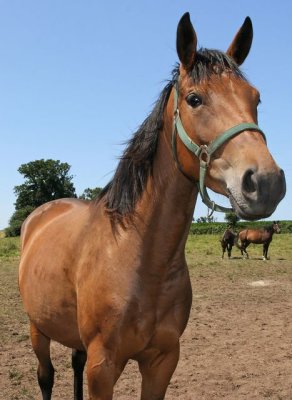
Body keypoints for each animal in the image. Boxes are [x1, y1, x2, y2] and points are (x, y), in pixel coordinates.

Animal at [17, 12, 286, 400]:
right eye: (194, 99)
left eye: (256, 99)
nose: (266, 183)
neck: (136, 255)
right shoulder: (103, 367)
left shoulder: (163, 360)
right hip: (37, 327)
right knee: (46, 376)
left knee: (73, 364)